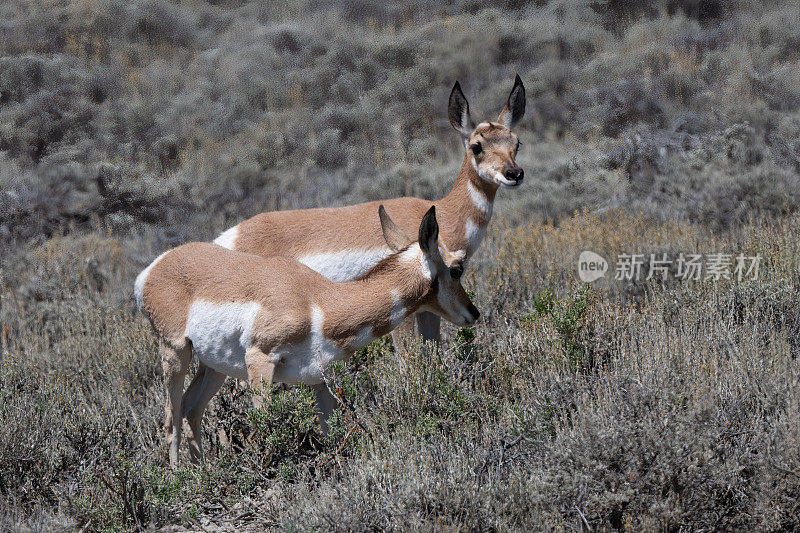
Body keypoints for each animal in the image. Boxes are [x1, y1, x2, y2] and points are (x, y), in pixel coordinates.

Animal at [134, 206, 478, 464]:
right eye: (455, 269)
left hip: (214, 367)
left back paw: (203, 471)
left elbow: (332, 436)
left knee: (191, 408)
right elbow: (266, 430)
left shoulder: (320, 381)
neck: (319, 301)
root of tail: (155, 267)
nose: (473, 313)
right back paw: (181, 479)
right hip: (175, 353)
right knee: (171, 417)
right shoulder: (260, 362)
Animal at [212, 75, 524, 340]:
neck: (443, 213)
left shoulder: (431, 307)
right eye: (477, 146)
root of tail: (228, 238)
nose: (514, 174)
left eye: (516, 143)